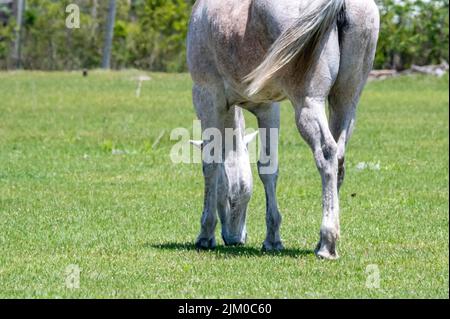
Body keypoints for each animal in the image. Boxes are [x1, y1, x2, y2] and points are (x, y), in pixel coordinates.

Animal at [186, 0, 380, 260]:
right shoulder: (268, 109)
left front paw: (205, 234)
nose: (235, 239)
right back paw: (322, 239)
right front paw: (272, 239)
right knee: (339, 158)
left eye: (232, 199)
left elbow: (211, 164)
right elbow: (268, 169)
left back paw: (327, 242)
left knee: (327, 154)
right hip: (346, 102)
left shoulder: (207, 97)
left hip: (308, 102)